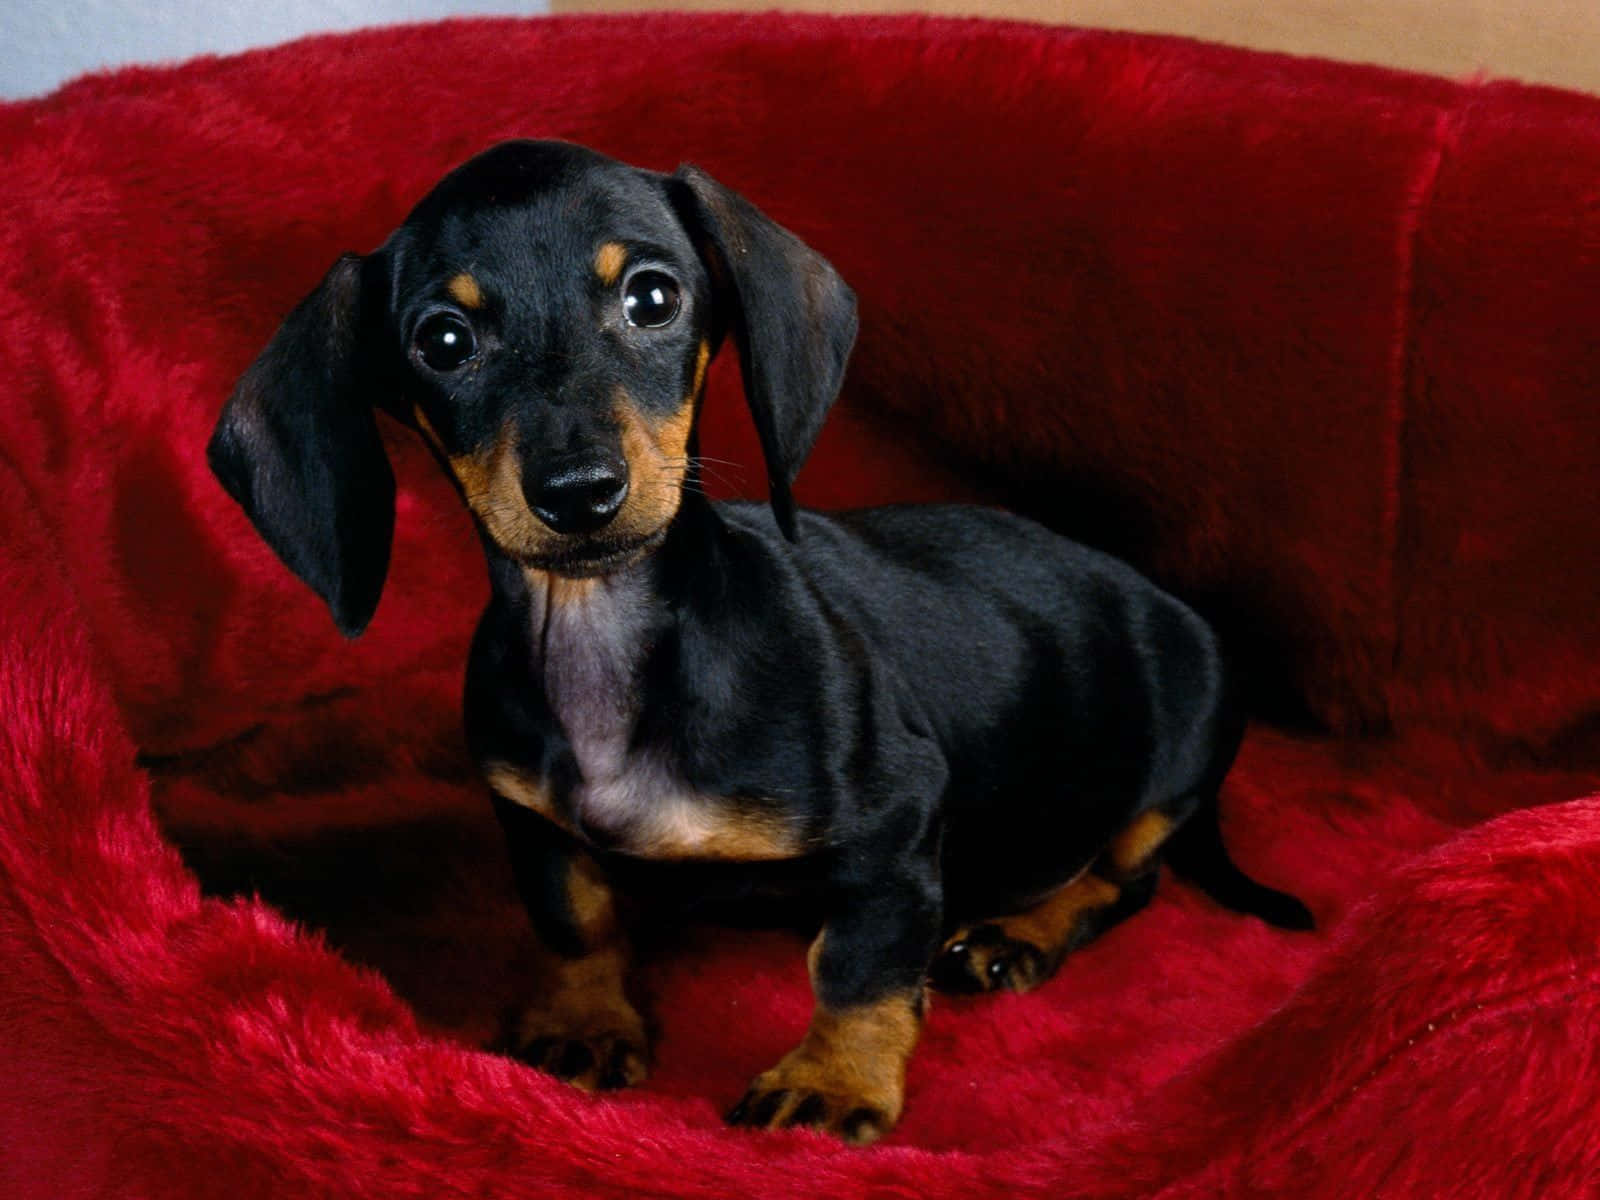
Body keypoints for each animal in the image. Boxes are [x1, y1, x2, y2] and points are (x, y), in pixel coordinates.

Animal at [209, 138, 1312, 1145]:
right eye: (442, 340)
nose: (579, 493)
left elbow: (858, 971)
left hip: (1178, 757)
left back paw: (1017, 933)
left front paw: (832, 1083)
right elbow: (574, 919)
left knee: (1127, 877)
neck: (609, 640)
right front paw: (584, 1019)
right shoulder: (531, 819)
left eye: (653, 297)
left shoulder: (899, 824)